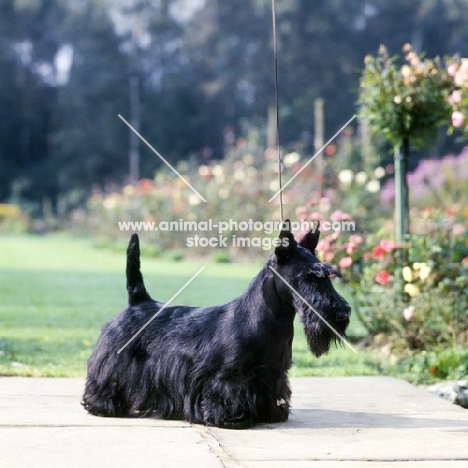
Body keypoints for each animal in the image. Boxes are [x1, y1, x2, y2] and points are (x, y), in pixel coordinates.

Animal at [82, 221, 350, 430]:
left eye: (328, 275)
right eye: (308, 276)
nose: (342, 313)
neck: (272, 321)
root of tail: (138, 301)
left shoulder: (275, 375)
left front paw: (271, 413)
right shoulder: (228, 376)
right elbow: (226, 395)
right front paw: (231, 419)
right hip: (113, 362)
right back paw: (102, 405)